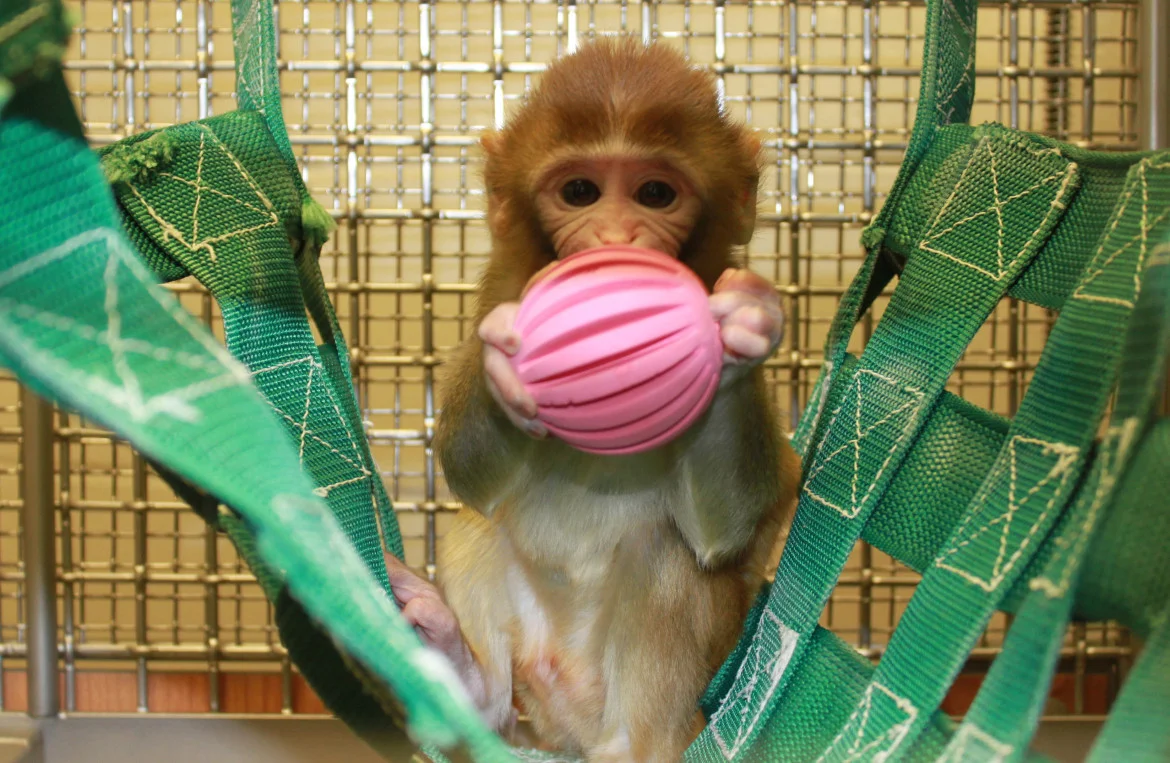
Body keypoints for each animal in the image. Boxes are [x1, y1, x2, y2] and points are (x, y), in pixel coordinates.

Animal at [389, 39, 802, 763]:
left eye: (655, 192)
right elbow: (467, 474)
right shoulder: (500, 285)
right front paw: (506, 360)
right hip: (539, 682)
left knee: (667, 549)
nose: (614, 239)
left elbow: (725, 533)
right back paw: (467, 681)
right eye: (579, 191)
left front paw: (739, 333)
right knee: (479, 523)